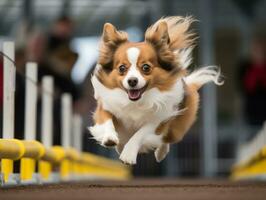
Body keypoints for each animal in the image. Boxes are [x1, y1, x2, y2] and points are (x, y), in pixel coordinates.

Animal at [89, 16, 222, 165]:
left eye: (146, 67)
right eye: (122, 68)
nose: (132, 81)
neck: (136, 102)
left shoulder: (158, 120)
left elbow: (140, 134)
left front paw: (128, 154)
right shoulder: (105, 108)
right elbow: (106, 122)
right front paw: (109, 138)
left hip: (176, 130)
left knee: (165, 140)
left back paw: (160, 153)